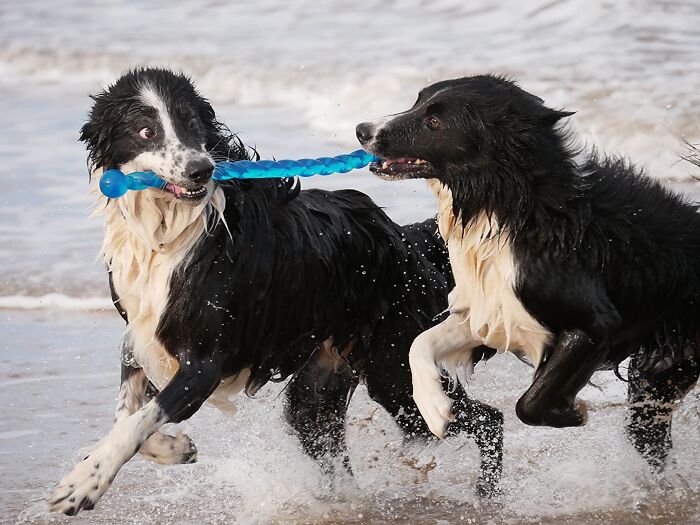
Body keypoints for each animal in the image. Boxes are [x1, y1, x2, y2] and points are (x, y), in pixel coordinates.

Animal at [47, 67, 504, 512]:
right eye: (145, 131)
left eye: (190, 121)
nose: (200, 169)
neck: (172, 231)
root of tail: (403, 237)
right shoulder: (141, 338)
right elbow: (127, 413)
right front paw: (172, 448)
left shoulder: (205, 362)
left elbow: (138, 420)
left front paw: (83, 483)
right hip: (318, 390)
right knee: (332, 447)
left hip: (395, 375)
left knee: (488, 419)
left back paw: (487, 497)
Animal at [358, 77, 700, 470]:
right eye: (417, 103)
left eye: (434, 121)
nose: (362, 130)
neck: (513, 205)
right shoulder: (492, 310)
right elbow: (419, 343)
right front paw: (434, 406)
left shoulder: (596, 325)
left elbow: (530, 402)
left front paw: (570, 411)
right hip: (658, 377)